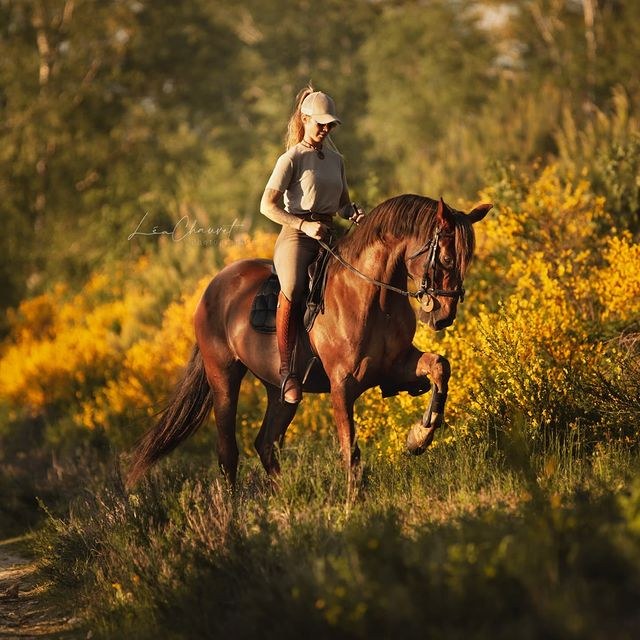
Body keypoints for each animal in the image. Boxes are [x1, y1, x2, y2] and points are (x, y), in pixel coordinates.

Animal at [127, 194, 491, 486]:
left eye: (467, 260)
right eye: (446, 259)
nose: (443, 316)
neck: (373, 295)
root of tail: (213, 287)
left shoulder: (396, 366)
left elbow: (440, 366)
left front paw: (419, 437)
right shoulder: (343, 386)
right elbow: (350, 448)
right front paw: (354, 502)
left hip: (280, 391)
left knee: (266, 444)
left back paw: (284, 497)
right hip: (224, 378)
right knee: (228, 452)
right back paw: (230, 513)